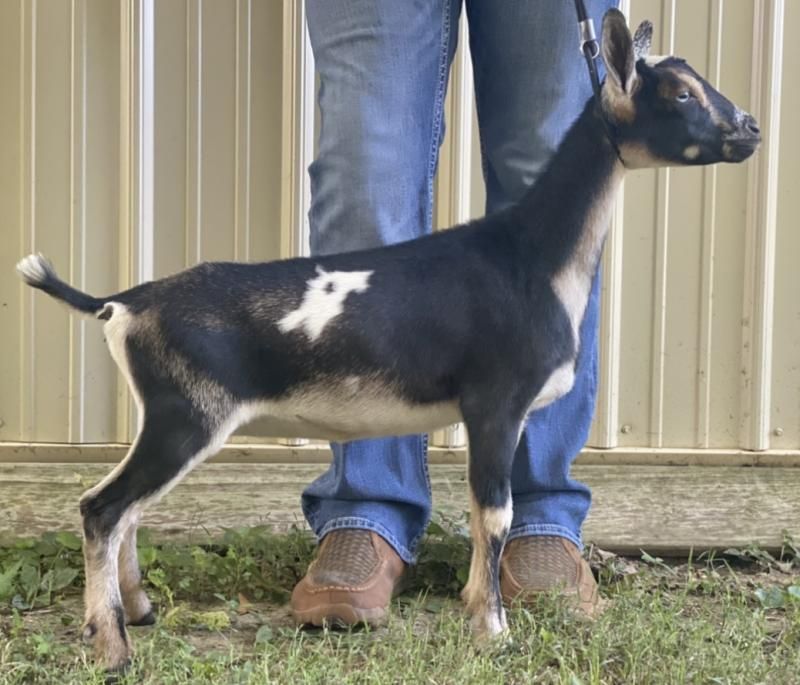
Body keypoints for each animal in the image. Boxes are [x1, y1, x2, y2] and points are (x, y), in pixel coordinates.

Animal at [16, 9, 759, 673]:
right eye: (681, 93)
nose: (750, 127)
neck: (529, 259)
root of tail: (124, 302)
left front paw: (476, 613)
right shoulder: (496, 403)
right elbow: (494, 514)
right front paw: (493, 633)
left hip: (167, 416)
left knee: (125, 509)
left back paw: (137, 609)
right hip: (186, 413)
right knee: (102, 507)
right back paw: (113, 648)